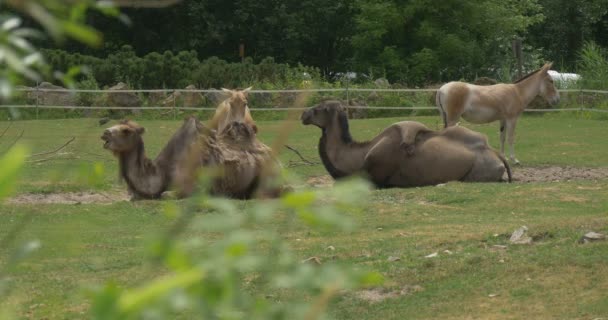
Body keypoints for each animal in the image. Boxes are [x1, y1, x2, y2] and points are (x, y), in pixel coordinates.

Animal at [302, 100, 510, 188]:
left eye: (320, 108)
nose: (303, 114)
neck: (359, 156)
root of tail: (497, 155)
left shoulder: (375, 175)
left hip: (478, 173)